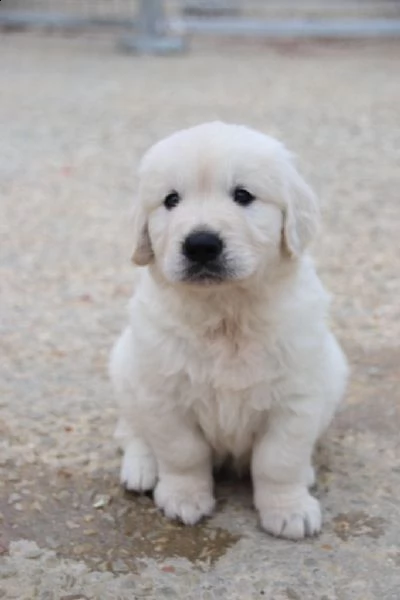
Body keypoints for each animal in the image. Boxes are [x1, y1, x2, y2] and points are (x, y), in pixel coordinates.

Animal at [109, 120, 346, 540]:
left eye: (243, 195)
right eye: (171, 200)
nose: (201, 245)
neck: (226, 314)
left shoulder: (296, 397)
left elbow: (278, 459)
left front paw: (288, 509)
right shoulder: (164, 395)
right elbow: (183, 451)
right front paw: (184, 497)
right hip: (125, 367)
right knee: (130, 429)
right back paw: (141, 467)